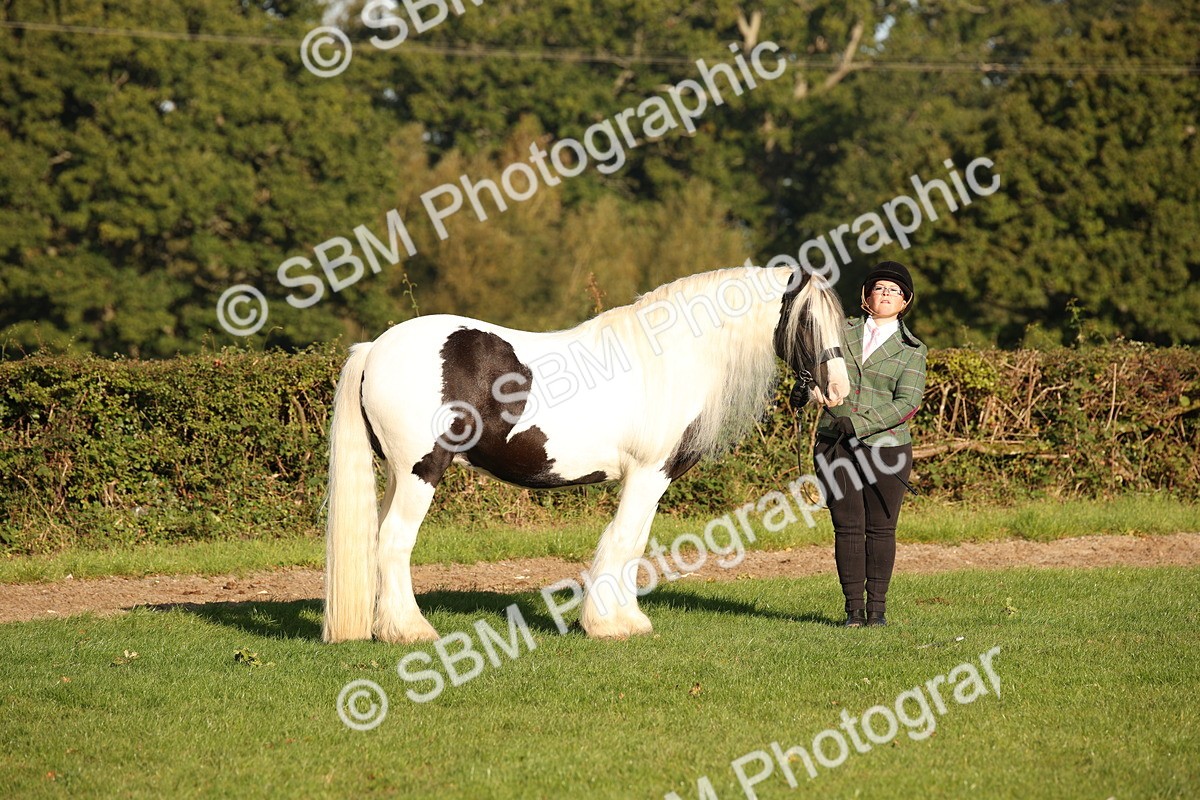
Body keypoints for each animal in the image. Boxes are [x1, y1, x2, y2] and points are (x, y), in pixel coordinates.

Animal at [322, 264, 849, 643]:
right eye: (806, 321)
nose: (838, 390)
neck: (670, 360)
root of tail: (374, 349)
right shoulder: (648, 474)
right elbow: (623, 539)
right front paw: (608, 624)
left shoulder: (651, 479)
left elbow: (635, 543)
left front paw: (627, 619)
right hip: (422, 471)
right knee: (395, 543)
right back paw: (411, 632)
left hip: (398, 475)